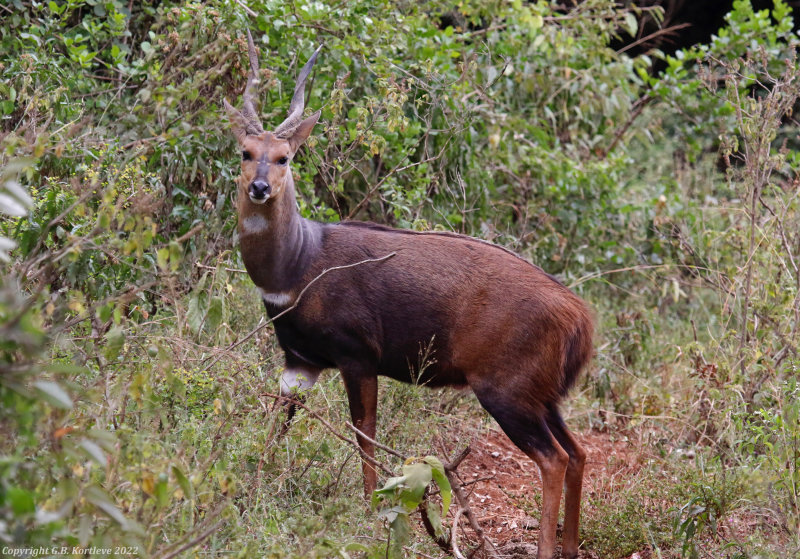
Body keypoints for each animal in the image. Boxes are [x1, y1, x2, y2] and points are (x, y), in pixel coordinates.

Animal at [225, 32, 592, 556]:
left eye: (284, 158)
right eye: (245, 152)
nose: (258, 187)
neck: (298, 265)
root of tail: (580, 318)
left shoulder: (357, 354)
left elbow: (366, 434)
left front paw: (369, 511)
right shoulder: (299, 362)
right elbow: (275, 427)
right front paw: (247, 490)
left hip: (506, 390)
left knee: (554, 458)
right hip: (543, 395)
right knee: (578, 452)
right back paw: (571, 545)